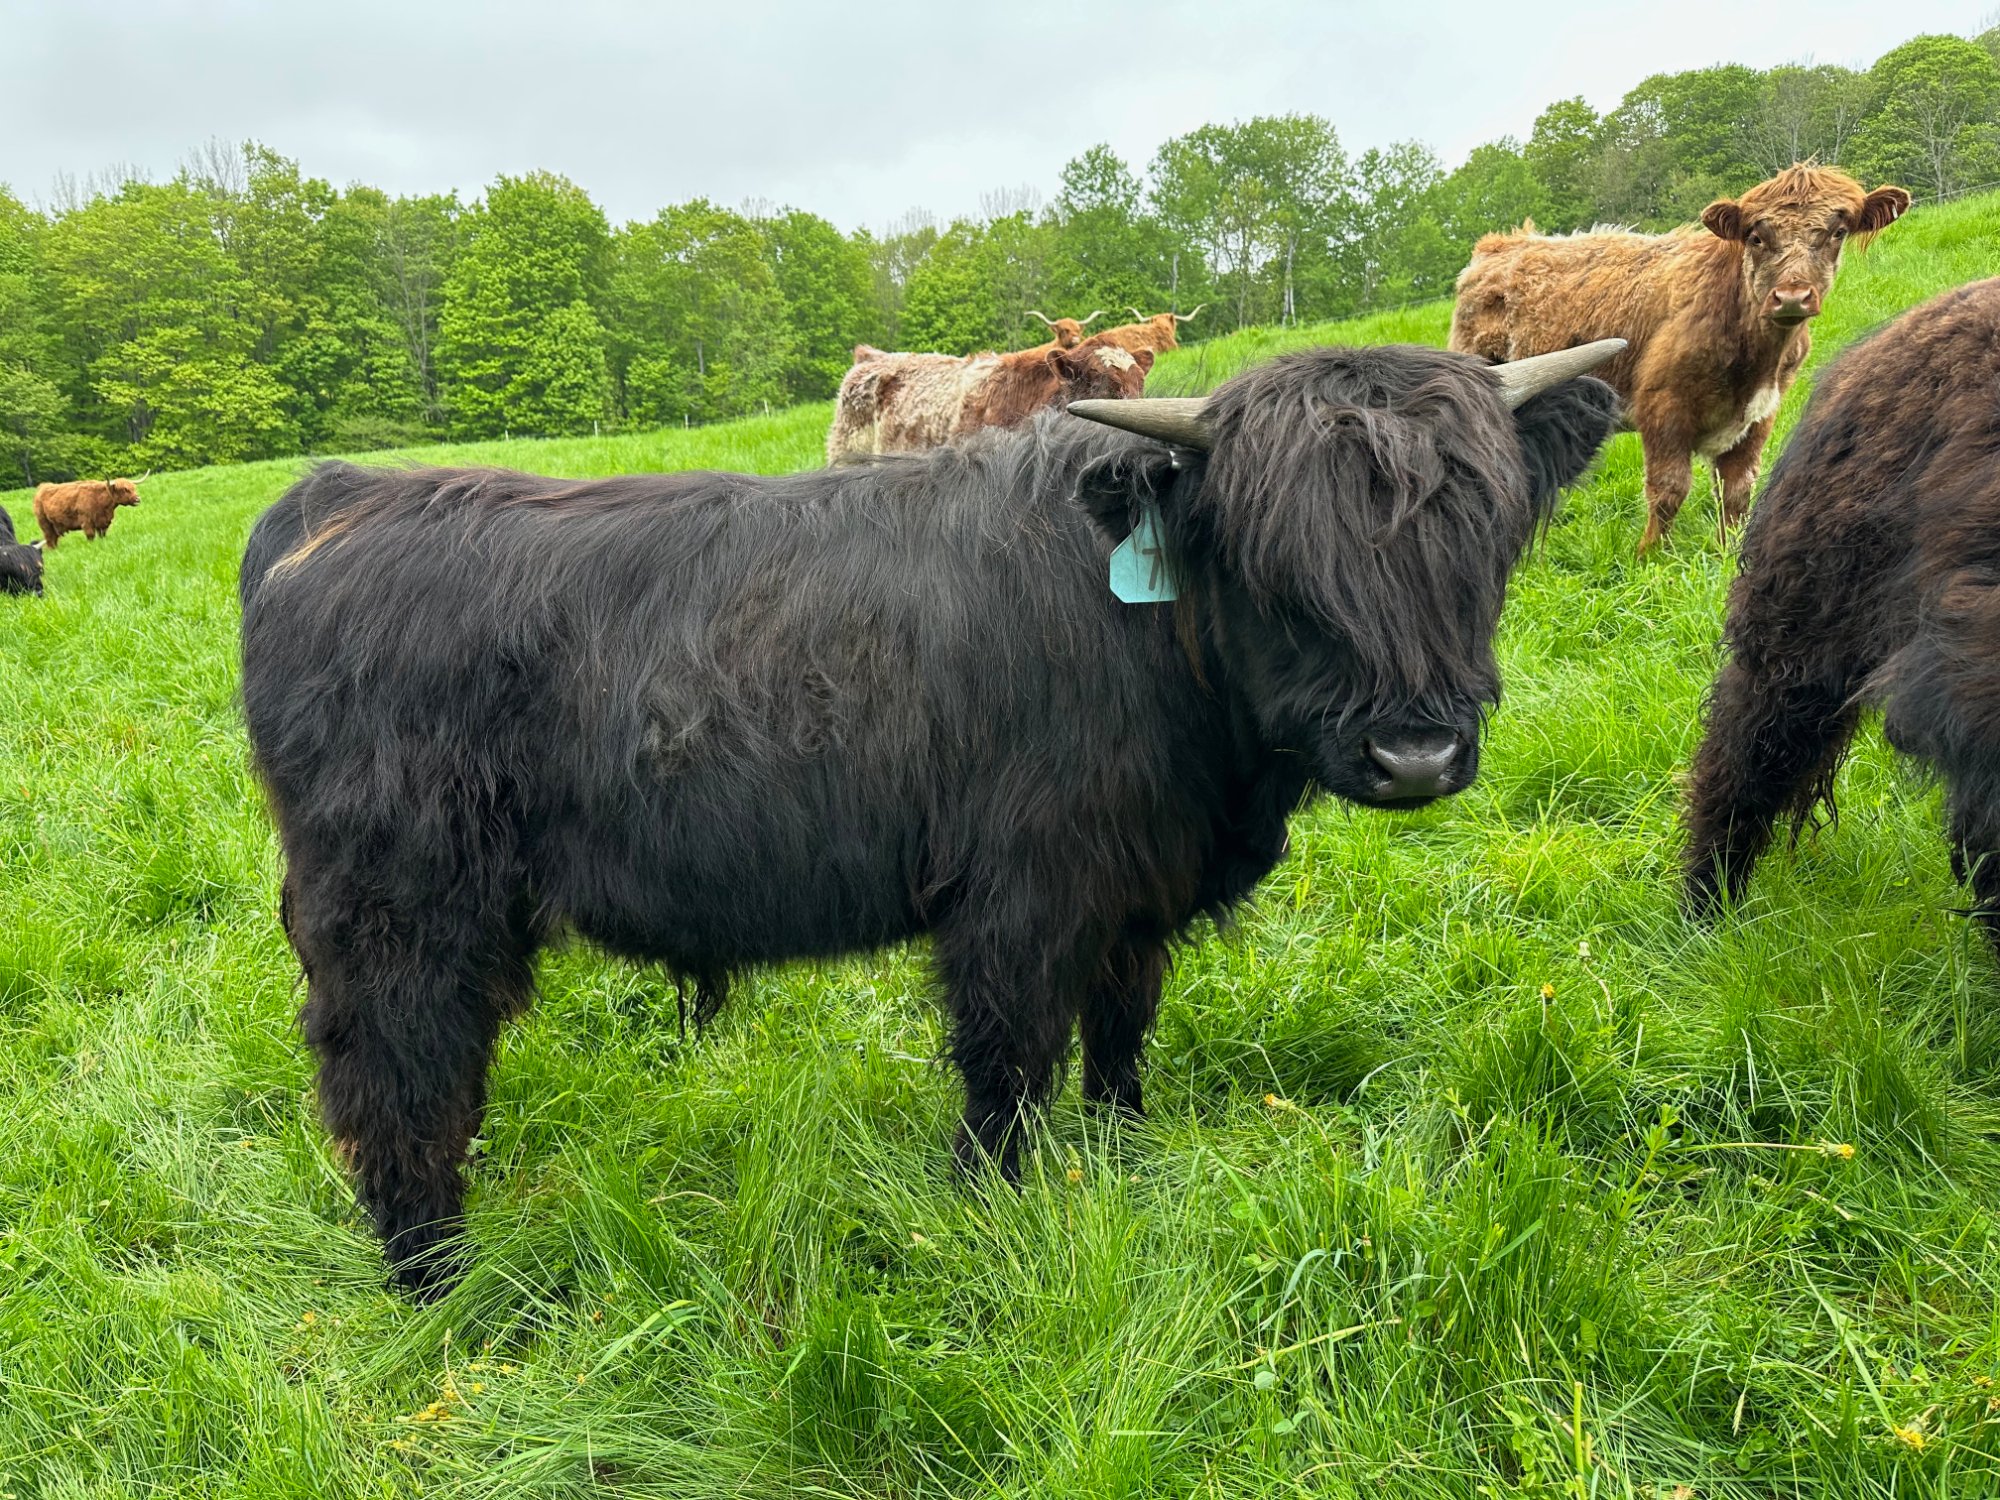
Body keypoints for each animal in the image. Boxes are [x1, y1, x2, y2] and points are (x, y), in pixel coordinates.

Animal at [1450, 165, 1910, 553]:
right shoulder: (1663, 406)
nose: (1792, 296)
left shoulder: (1761, 415)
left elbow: (1737, 491)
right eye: (1756, 236)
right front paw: (1650, 555)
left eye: (1837, 232)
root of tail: (1505, 242)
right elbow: (1669, 489)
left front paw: (1727, 551)